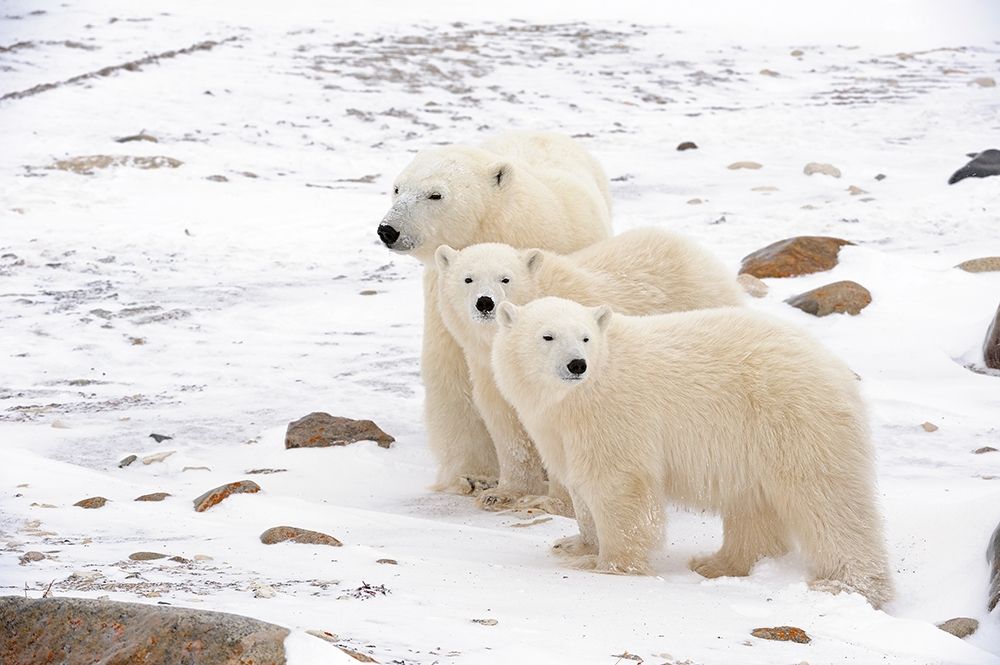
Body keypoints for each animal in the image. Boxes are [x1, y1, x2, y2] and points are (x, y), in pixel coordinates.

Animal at [377, 131, 612, 493]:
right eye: (397, 188)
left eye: (435, 194)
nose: (388, 230)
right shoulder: (446, 296)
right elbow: (453, 370)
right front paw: (472, 474)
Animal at [434, 228, 745, 513]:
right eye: (468, 278)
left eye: (505, 278)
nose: (485, 303)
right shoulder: (491, 368)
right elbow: (507, 424)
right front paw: (501, 494)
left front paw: (553, 502)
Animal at [490, 296, 894, 609]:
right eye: (548, 335)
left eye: (585, 337)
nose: (577, 364)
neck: (578, 395)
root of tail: (837, 368)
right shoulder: (558, 428)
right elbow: (580, 484)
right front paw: (574, 545)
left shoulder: (615, 413)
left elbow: (617, 483)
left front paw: (611, 565)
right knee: (753, 505)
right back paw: (719, 563)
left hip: (793, 418)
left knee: (828, 501)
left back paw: (845, 584)